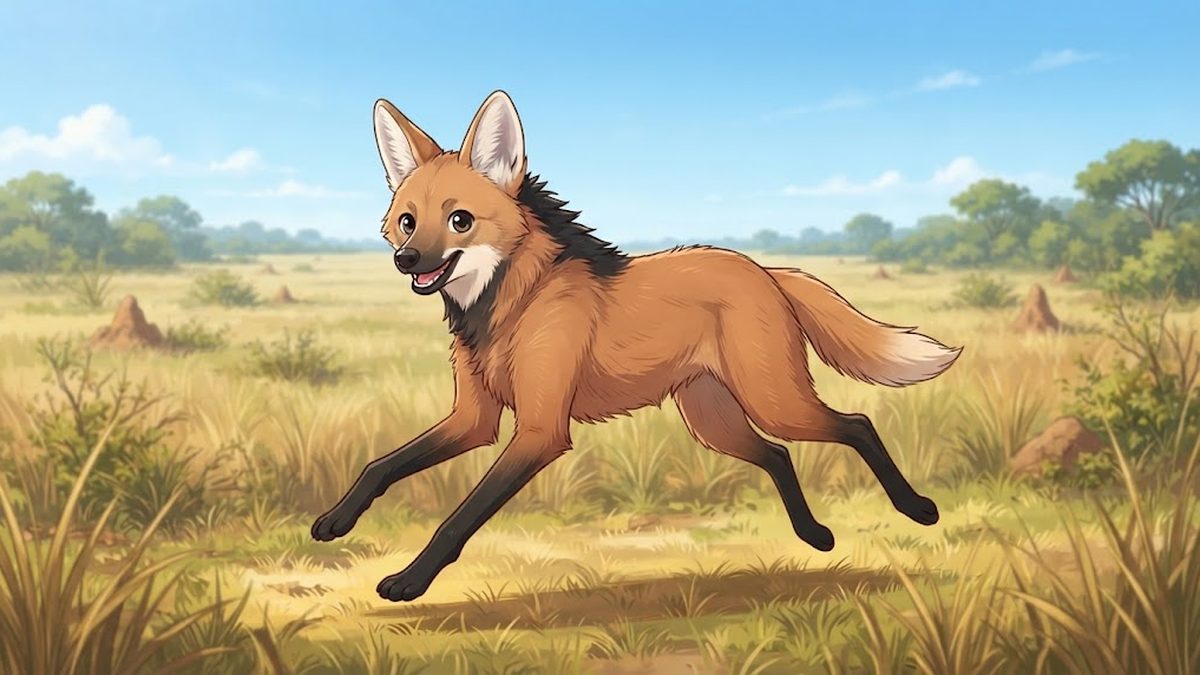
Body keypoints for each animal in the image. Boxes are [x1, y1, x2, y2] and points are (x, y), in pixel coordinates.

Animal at [311, 91, 962, 602]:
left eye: (460, 221)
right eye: (406, 221)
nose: (406, 260)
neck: (511, 308)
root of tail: (764, 268)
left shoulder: (540, 432)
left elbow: (457, 518)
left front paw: (409, 581)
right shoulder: (475, 420)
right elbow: (381, 465)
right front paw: (335, 520)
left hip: (774, 401)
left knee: (856, 425)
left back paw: (917, 509)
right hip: (715, 420)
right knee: (778, 454)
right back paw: (814, 536)